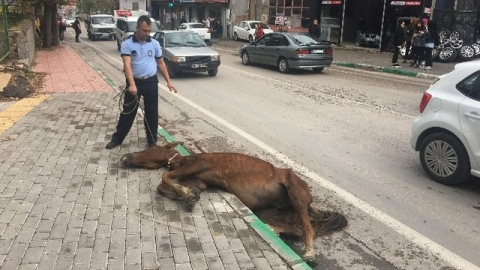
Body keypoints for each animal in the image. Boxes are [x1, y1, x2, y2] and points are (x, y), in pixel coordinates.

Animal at [119, 142, 344, 262]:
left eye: (149, 148)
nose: (124, 157)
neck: (186, 160)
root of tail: (310, 202)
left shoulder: (197, 167)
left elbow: (165, 177)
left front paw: (186, 194)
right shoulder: (199, 180)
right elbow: (165, 186)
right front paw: (189, 196)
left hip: (296, 196)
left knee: (307, 229)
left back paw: (309, 252)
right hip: (267, 211)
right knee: (295, 230)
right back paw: (272, 229)